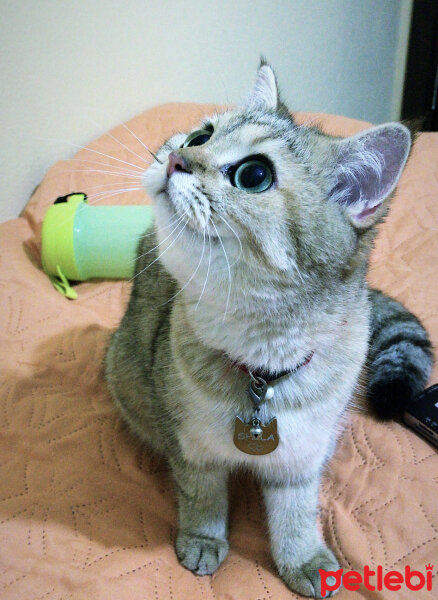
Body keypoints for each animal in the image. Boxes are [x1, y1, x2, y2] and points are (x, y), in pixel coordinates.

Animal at [104, 62, 432, 600]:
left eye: (253, 175)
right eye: (201, 135)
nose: (175, 157)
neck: (262, 362)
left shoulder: (303, 459)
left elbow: (296, 513)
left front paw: (304, 557)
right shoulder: (190, 448)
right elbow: (202, 497)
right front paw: (203, 538)